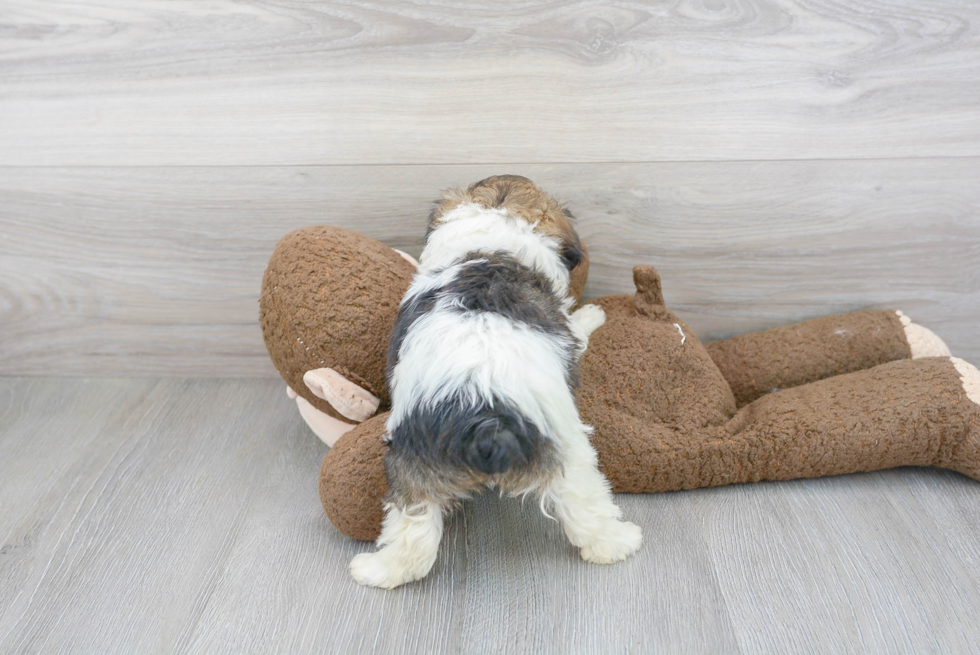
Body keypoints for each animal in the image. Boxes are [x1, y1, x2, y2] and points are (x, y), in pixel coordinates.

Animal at [348, 174, 640, 588]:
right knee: (587, 509)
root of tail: (483, 412)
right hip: (568, 449)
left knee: (413, 536)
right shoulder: (565, 330)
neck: (491, 242)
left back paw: (376, 570)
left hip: (412, 463)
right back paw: (619, 543)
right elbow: (578, 328)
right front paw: (593, 314)